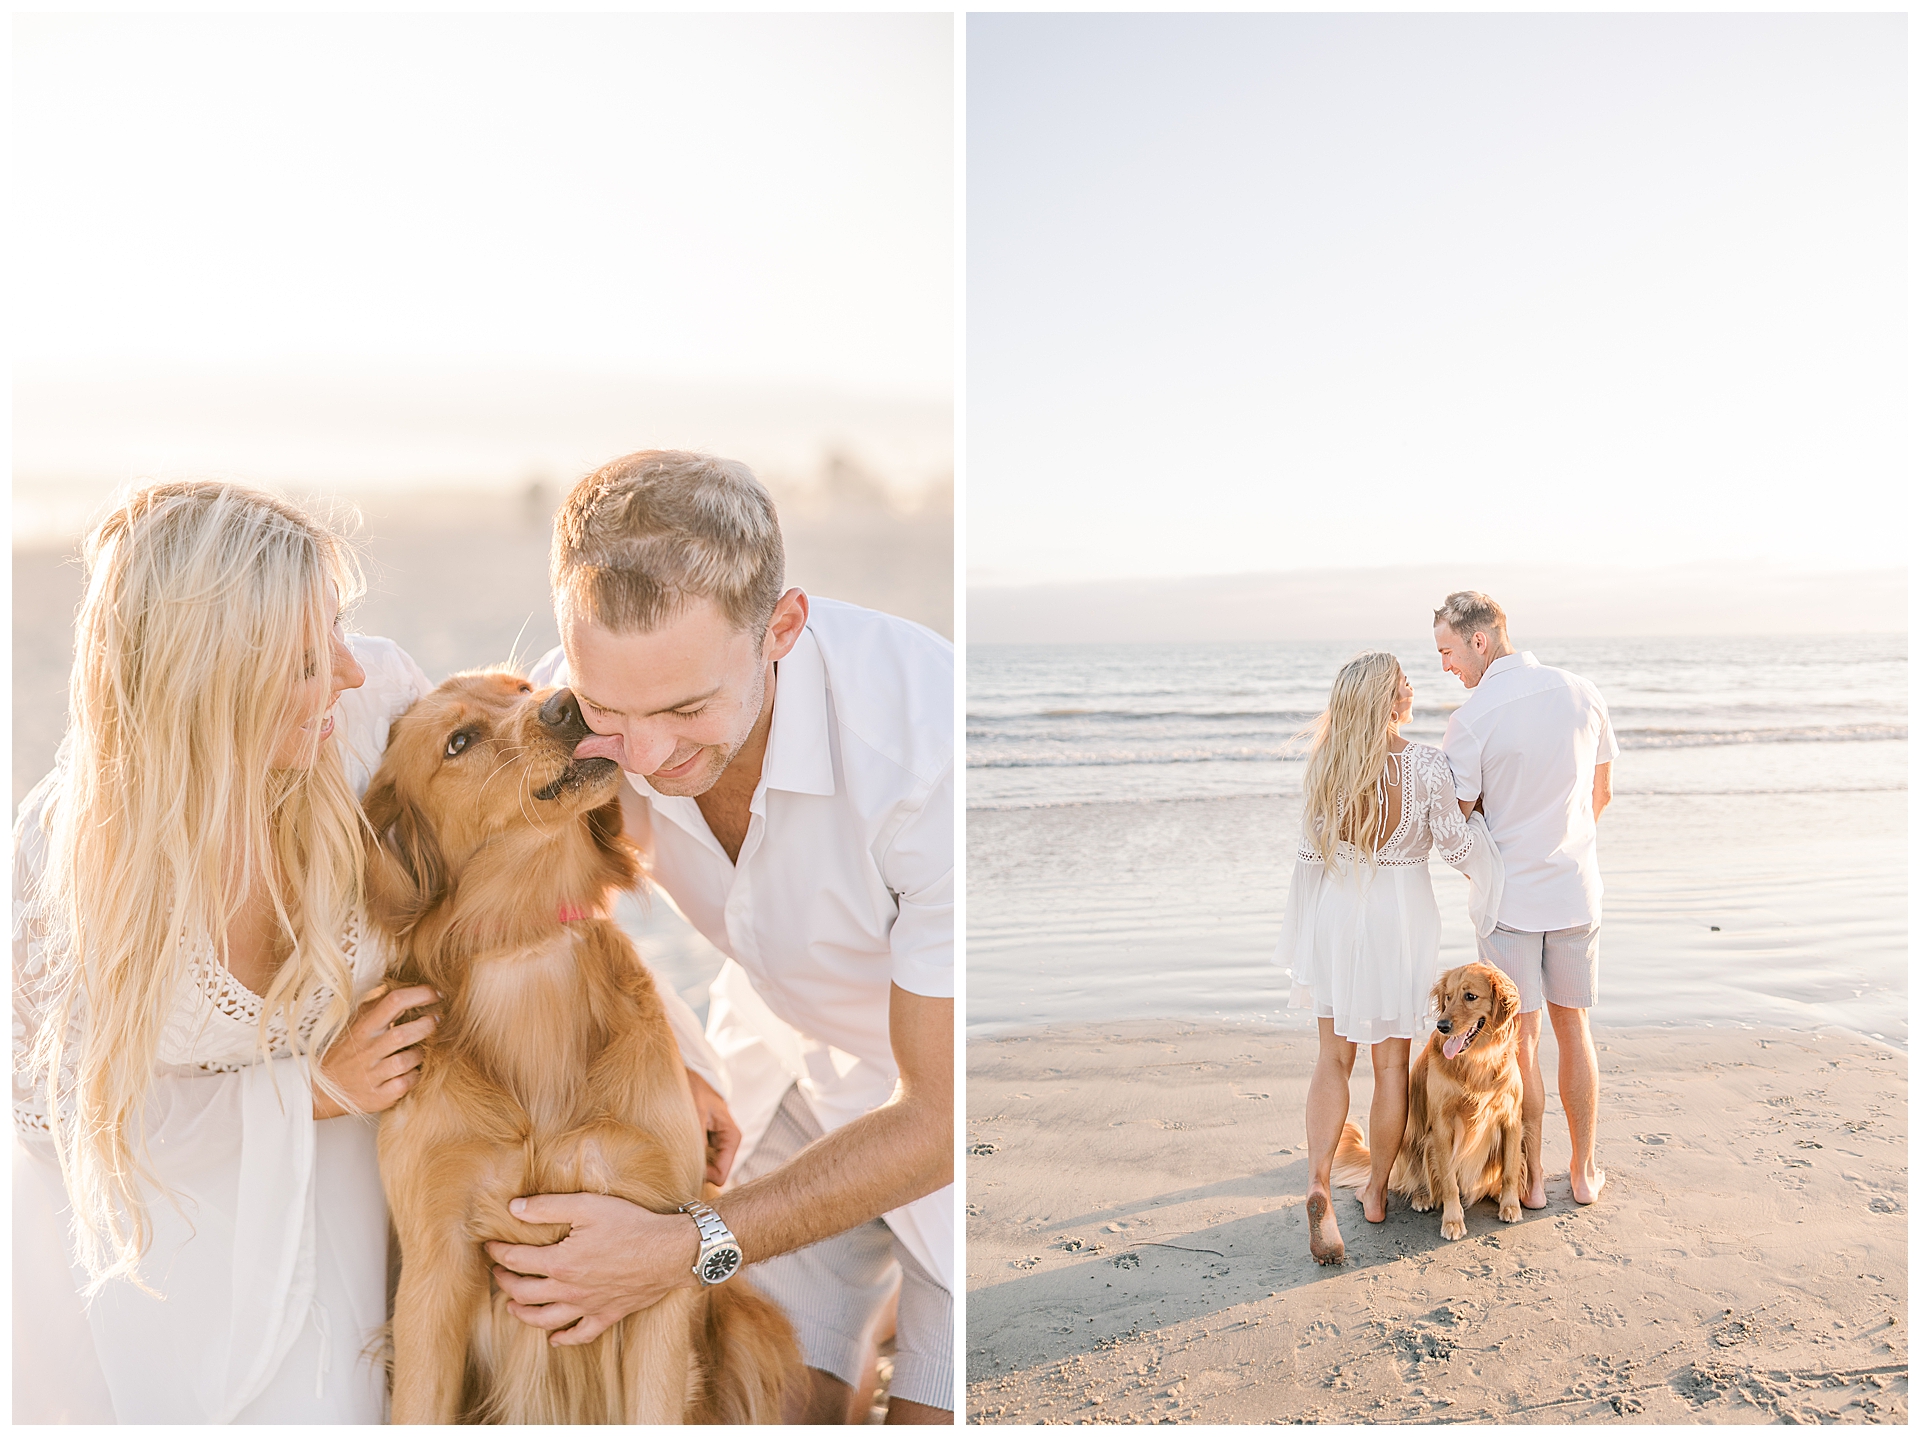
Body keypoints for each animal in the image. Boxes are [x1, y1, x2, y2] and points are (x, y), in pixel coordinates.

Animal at [362, 668, 798, 1421]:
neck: (527, 940)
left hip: (750, 1328)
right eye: (459, 742)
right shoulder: (432, 1268)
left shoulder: (654, 1256)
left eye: (520, 685)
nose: (567, 704)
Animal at [1336, 972, 1528, 1237]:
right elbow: (1448, 1181)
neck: (1476, 1061)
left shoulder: (1511, 1120)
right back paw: (1422, 1196)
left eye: (1470, 996)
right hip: (1411, 1138)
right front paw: (1452, 1220)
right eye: (1447, 996)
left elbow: (1510, 1169)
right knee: (1417, 1178)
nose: (1442, 1026)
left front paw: (1510, 1205)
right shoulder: (1442, 1126)